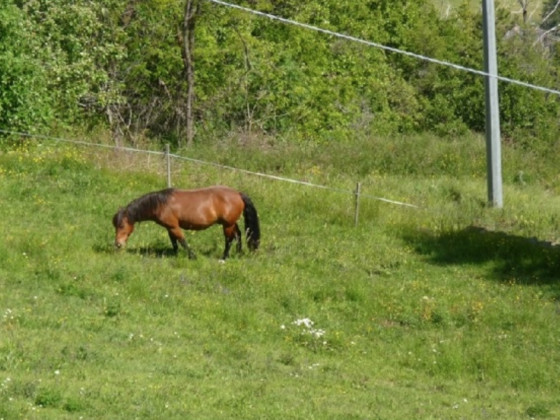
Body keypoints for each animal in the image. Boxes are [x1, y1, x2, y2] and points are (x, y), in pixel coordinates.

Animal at [114, 186, 262, 260]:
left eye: (121, 225)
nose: (118, 244)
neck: (161, 204)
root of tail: (238, 193)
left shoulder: (174, 227)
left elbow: (182, 240)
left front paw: (192, 256)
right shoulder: (170, 228)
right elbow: (174, 242)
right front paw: (175, 255)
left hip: (227, 225)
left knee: (229, 239)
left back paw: (224, 257)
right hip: (230, 223)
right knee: (239, 234)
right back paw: (238, 253)